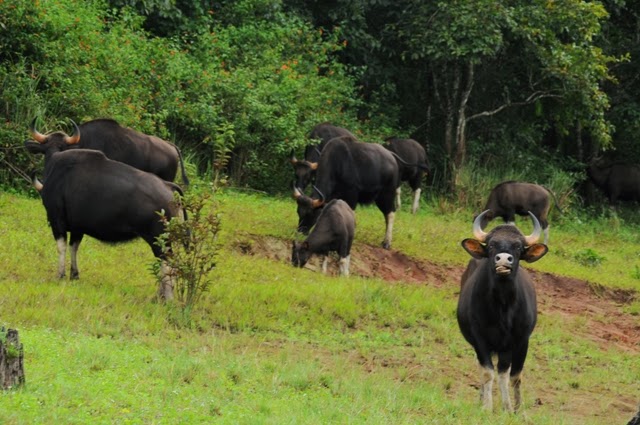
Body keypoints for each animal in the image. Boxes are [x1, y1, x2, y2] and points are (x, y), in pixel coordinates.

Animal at [458, 209, 548, 410]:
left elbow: (510, 375)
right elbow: (487, 372)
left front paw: (512, 408)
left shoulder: (518, 341)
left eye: (518, 247)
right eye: (492, 245)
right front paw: (486, 407)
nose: (504, 260)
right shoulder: (480, 339)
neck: (503, 307)